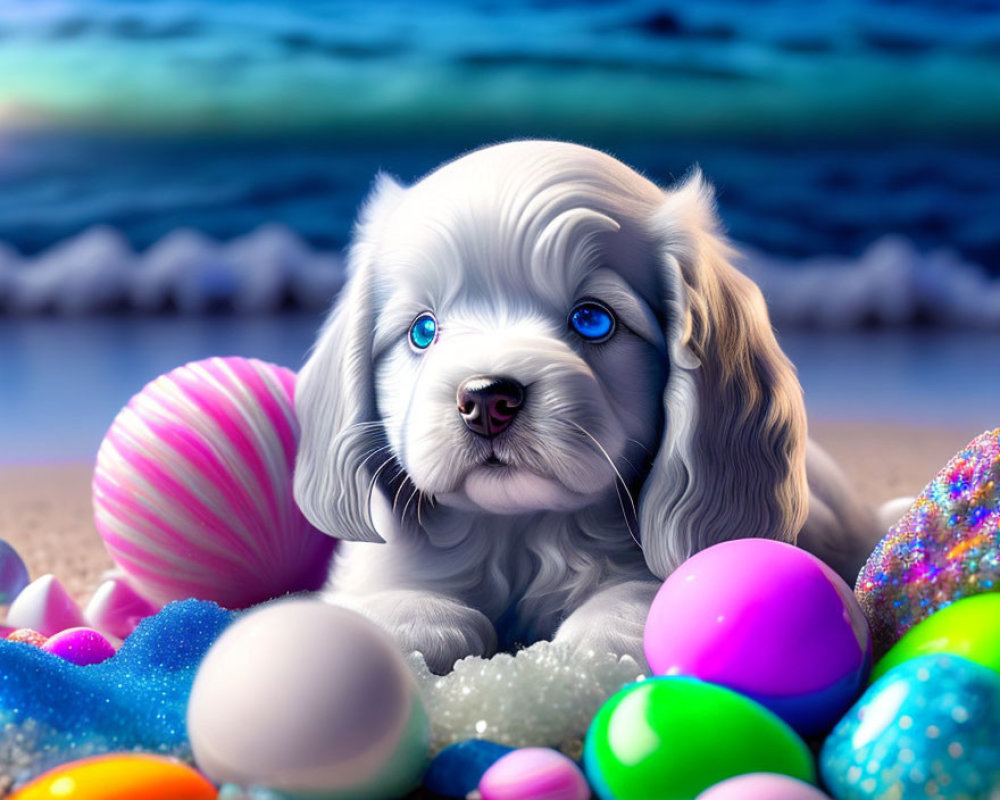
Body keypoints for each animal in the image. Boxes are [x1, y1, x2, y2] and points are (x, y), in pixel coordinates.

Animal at [292, 139, 884, 676]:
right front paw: (415, 620)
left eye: (593, 320)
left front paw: (592, 643)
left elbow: (642, 594)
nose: (487, 398)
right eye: (422, 331)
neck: (520, 529)